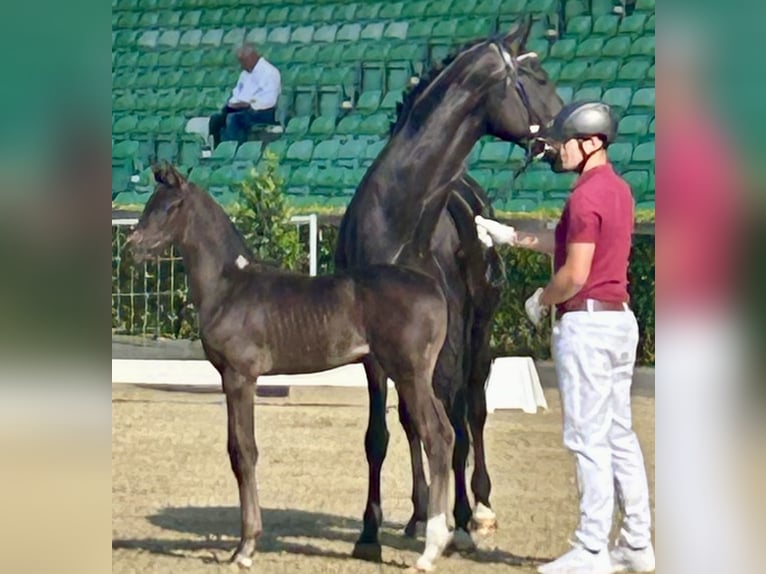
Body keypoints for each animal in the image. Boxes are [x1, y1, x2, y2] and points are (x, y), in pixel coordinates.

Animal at [126, 163, 457, 571]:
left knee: (436, 437)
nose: (132, 248)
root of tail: (434, 289)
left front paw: (245, 548)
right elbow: (237, 450)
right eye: (149, 204)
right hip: (419, 377)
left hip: (409, 374)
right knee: (446, 433)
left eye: (170, 207)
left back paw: (429, 551)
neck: (229, 286)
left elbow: (243, 452)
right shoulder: (228, 377)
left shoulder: (240, 376)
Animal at [334, 17, 564, 557]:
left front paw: (458, 519)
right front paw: (370, 532)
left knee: (471, 410)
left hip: (477, 333)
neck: (397, 224)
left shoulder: (452, 343)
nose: (570, 132)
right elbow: (380, 435)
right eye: (540, 76)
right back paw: (421, 513)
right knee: (416, 418)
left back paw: (474, 509)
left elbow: (454, 420)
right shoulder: (374, 351)